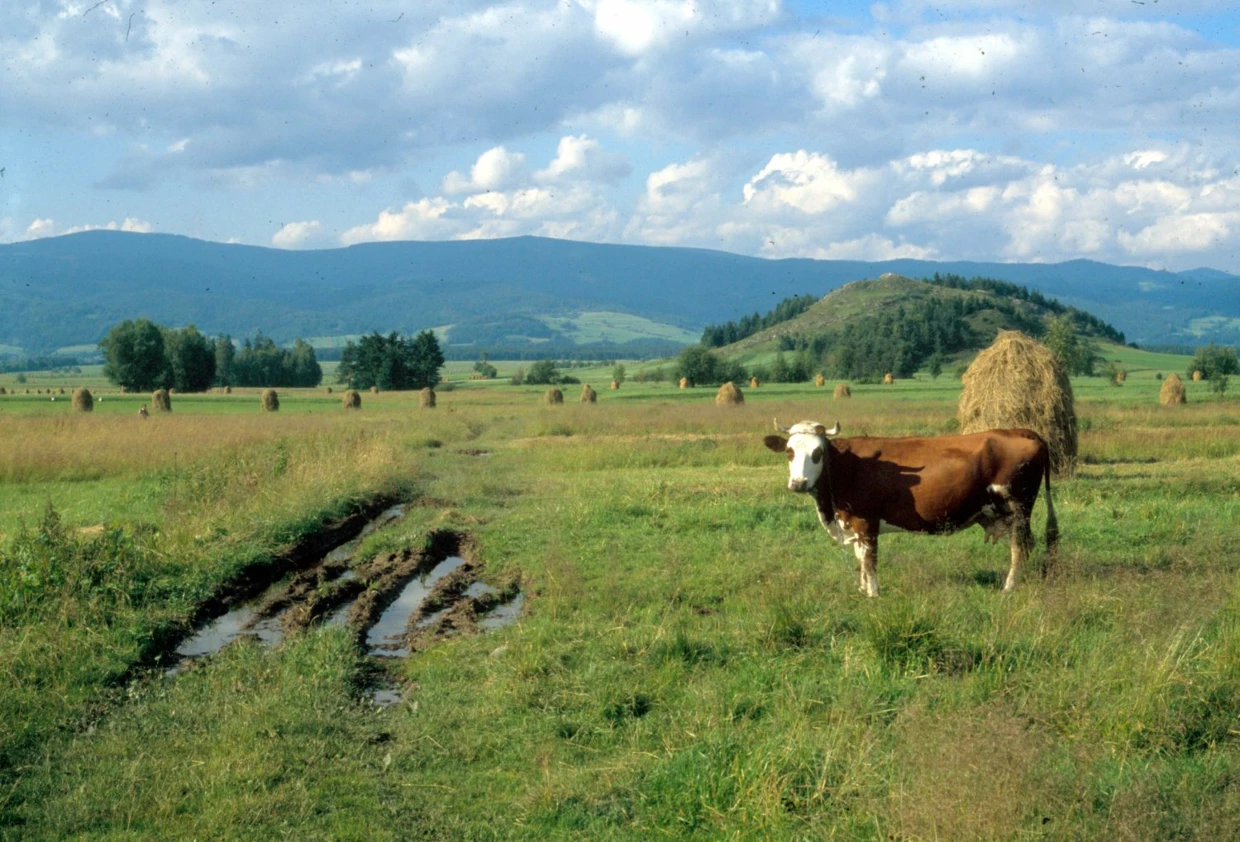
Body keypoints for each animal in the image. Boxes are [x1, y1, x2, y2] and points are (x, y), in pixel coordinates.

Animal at [763, 419, 1056, 595]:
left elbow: (869, 561)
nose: (798, 483)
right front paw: (862, 590)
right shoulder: (854, 525)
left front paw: (873, 595)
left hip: (1018, 509)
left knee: (1021, 547)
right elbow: (860, 559)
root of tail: (1019, 431)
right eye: (789, 451)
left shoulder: (866, 523)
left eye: (818, 453)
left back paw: (1008, 588)